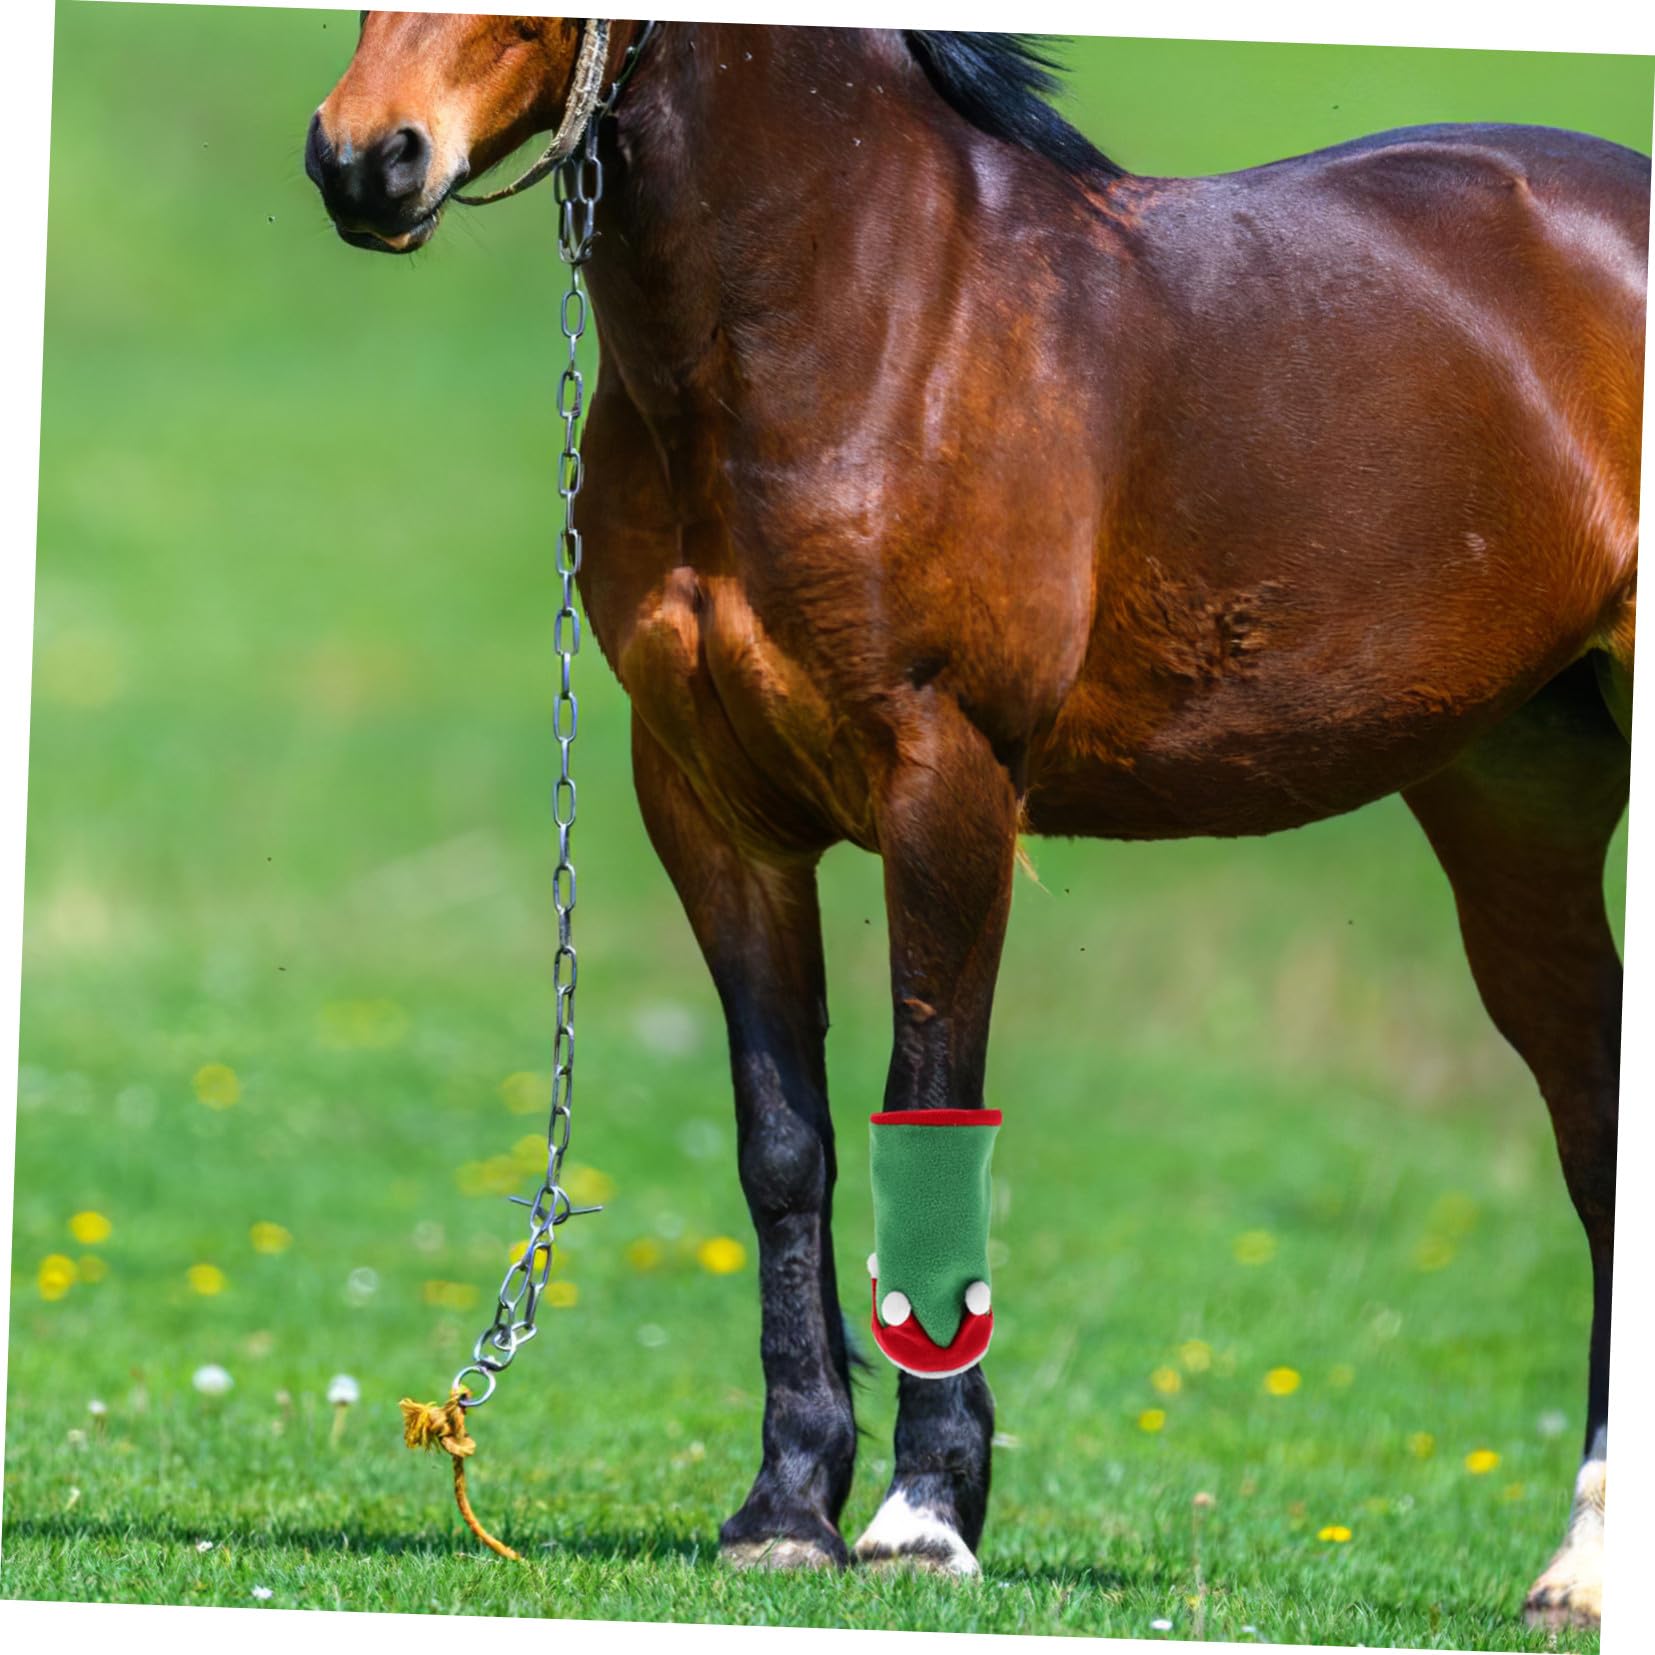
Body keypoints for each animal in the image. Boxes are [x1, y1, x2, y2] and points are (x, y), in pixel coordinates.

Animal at [306, 17, 1643, 1627]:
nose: (365, 159)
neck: (858, 314)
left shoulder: (948, 785)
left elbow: (925, 1113)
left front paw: (923, 1510)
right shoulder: (708, 807)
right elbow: (785, 1146)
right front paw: (785, 1505)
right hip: (1514, 803)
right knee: (1598, 1122)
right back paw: (1582, 1560)